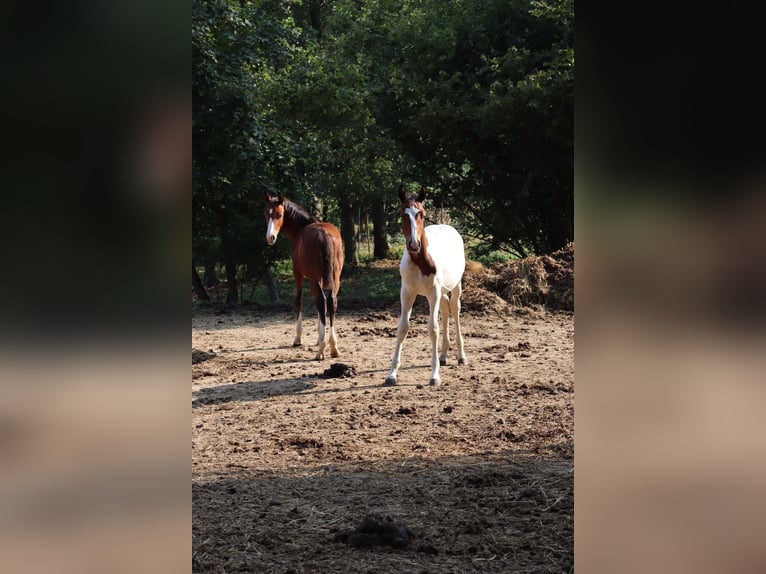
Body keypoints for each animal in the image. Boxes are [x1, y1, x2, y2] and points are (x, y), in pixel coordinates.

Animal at [268, 196, 344, 362]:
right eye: (266, 213)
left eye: (279, 215)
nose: (270, 237)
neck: (301, 229)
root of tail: (324, 235)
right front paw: (318, 337)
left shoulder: (298, 274)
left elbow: (299, 300)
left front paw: (298, 338)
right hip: (335, 279)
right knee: (331, 301)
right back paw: (333, 347)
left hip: (314, 279)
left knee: (321, 301)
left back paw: (321, 350)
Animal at [388, 186, 472, 388]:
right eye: (403, 214)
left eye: (422, 214)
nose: (413, 244)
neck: (421, 262)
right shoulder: (407, 292)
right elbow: (402, 328)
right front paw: (392, 374)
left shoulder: (433, 292)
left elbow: (433, 328)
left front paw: (434, 375)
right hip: (438, 292)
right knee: (445, 308)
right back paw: (443, 355)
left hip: (454, 286)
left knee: (454, 308)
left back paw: (460, 356)